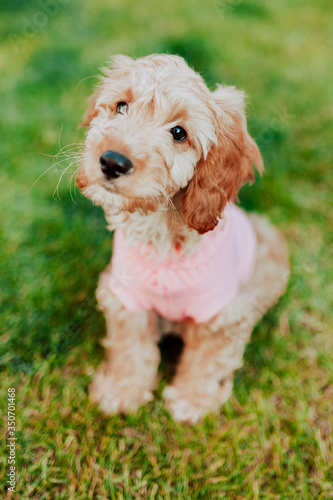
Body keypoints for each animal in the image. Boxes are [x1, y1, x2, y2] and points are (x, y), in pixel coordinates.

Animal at [75, 53, 288, 422]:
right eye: (121, 106)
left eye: (179, 133)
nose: (112, 161)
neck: (162, 232)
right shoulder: (126, 296)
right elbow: (128, 345)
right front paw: (121, 391)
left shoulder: (221, 312)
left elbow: (207, 358)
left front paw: (192, 400)